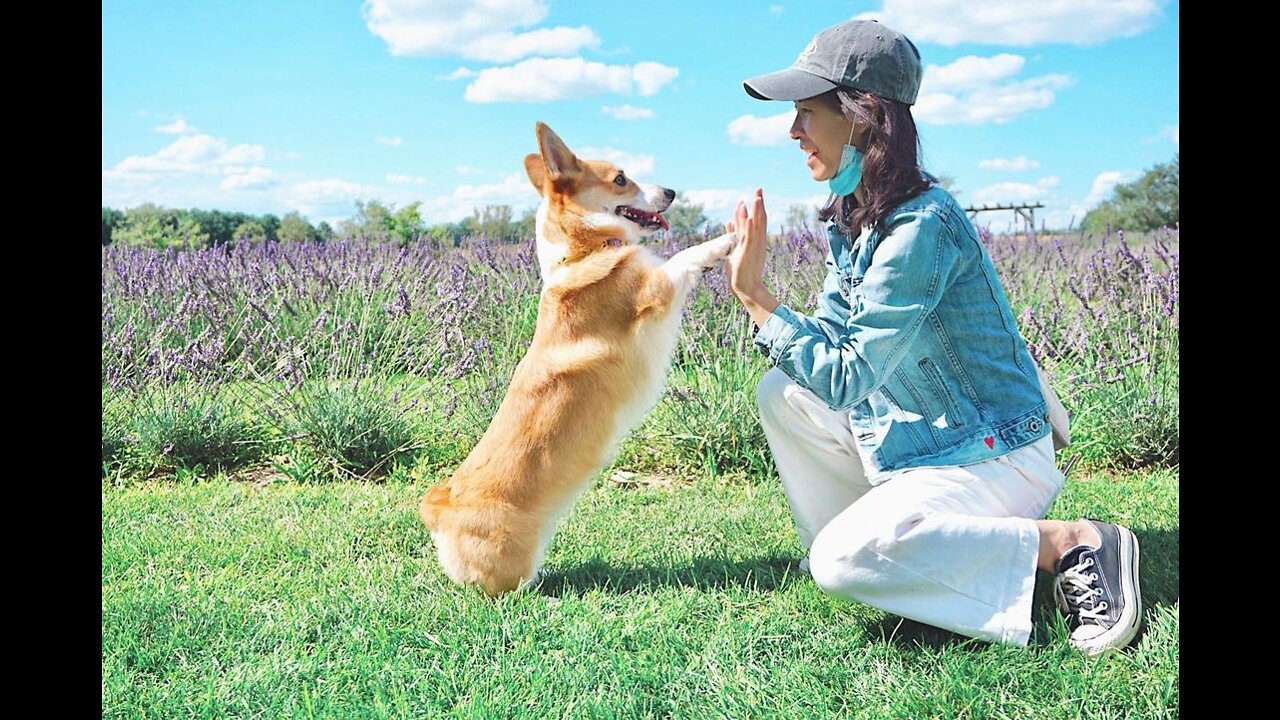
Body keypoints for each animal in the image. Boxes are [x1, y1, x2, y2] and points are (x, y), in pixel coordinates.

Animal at [417, 121, 737, 594]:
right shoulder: (656, 289)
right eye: (621, 179)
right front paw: (727, 239)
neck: (583, 249)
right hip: (511, 561)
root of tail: (441, 513)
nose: (672, 191)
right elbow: (684, 257)